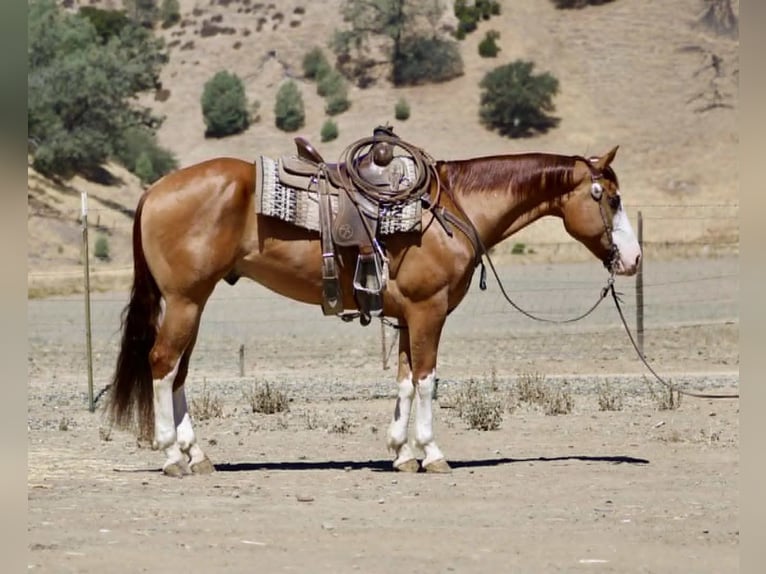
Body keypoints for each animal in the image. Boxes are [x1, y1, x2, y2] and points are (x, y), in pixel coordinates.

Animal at [106, 144, 642, 476]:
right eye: (612, 199)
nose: (633, 259)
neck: (452, 208)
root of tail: (153, 191)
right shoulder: (429, 312)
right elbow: (427, 380)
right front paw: (432, 453)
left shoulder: (407, 318)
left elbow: (404, 381)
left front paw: (401, 454)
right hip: (185, 301)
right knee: (162, 365)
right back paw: (172, 457)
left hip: (193, 303)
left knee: (177, 372)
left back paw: (197, 455)